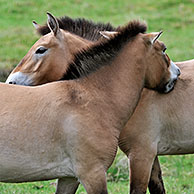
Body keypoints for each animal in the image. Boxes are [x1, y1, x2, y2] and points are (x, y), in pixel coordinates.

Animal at [0, 12, 179, 193]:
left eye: (40, 49)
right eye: (163, 49)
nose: (176, 73)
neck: (88, 97)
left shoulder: (69, 178)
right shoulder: (93, 173)